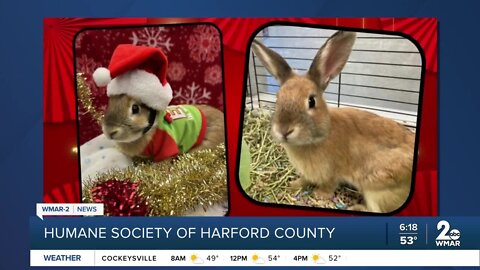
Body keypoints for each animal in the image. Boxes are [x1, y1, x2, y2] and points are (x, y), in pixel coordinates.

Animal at [251, 31, 416, 213]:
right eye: (277, 98)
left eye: (311, 101)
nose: (284, 130)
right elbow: (304, 179)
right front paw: (293, 185)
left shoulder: (332, 173)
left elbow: (329, 185)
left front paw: (320, 195)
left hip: (377, 190)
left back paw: (355, 207)